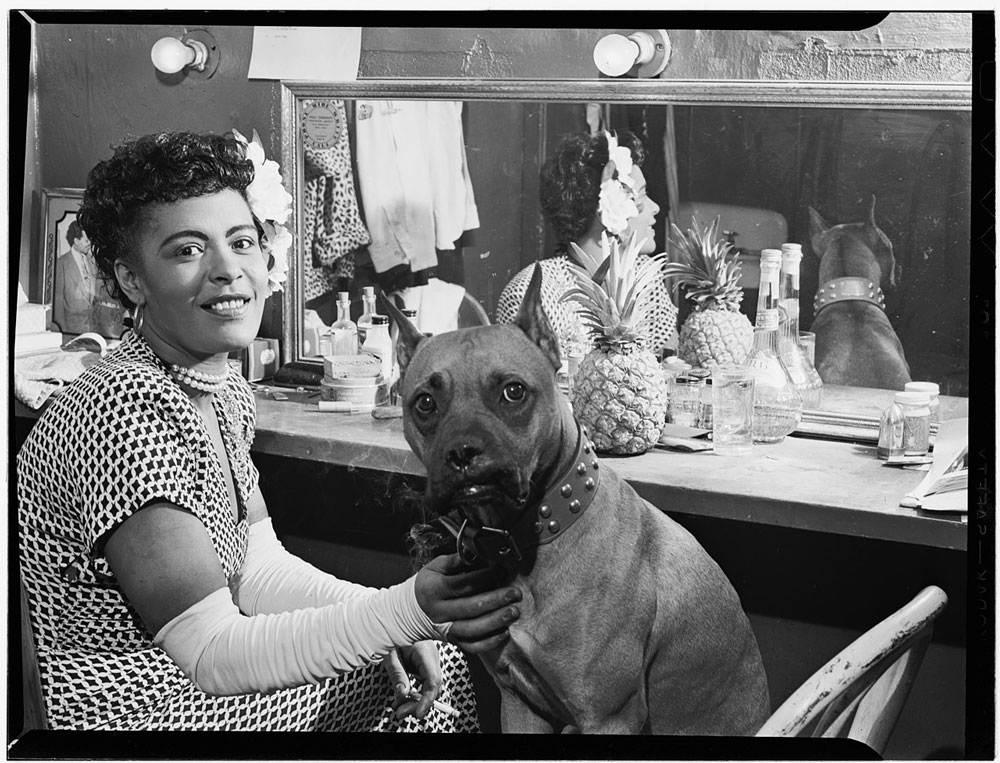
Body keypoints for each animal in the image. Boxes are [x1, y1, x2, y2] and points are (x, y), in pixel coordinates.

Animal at [380, 272, 764, 736]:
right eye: (424, 402)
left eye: (513, 391)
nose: (463, 452)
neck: (537, 528)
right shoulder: (521, 704)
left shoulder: (609, 718)